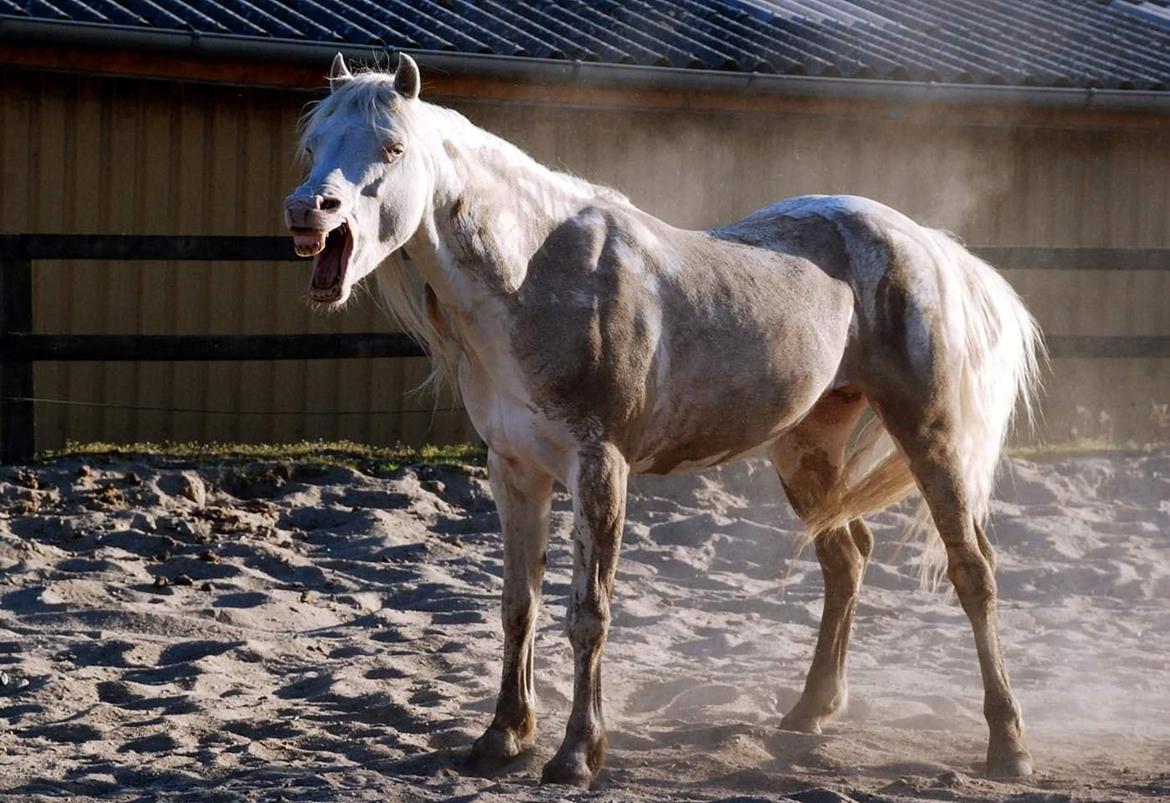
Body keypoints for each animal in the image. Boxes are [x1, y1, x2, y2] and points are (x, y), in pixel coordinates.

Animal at [283, 53, 1043, 791]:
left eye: (392, 146)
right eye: (313, 146)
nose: (307, 210)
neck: (534, 276)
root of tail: (925, 244)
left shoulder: (599, 469)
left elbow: (588, 614)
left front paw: (577, 755)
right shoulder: (515, 471)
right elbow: (516, 605)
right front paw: (502, 737)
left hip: (929, 435)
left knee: (973, 571)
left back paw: (1008, 745)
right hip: (806, 448)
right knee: (846, 556)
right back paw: (808, 712)